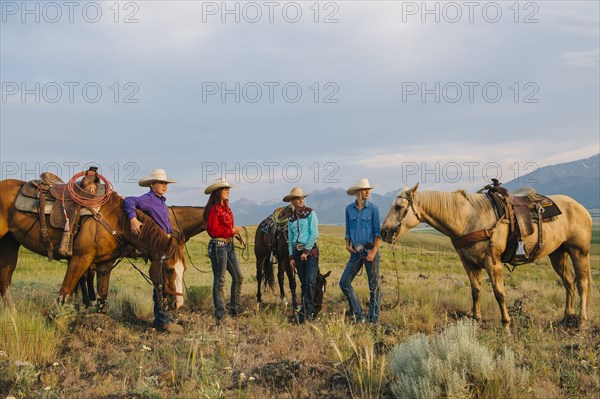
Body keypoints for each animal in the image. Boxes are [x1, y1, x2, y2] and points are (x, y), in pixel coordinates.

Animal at [0, 180, 186, 314]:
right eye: (169, 269)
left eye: (183, 269)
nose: (178, 304)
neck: (114, 219)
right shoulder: (80, 258)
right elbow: (64, 293)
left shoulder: (105, 263)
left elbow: (102, 297)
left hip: (10, 244)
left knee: (5, 280)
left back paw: (13, 313)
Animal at [382, 184, 592, 334]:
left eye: (399, 206)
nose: (383, 232)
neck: (468, 219)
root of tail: (582, 208)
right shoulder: (469, 264)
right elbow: (475, 291)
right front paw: (476, 319)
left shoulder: (492, 263)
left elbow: (499, 293)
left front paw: (506, 324)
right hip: (558, 253)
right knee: (569, 282)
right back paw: (566, 318)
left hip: (578, 251)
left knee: (581, 283)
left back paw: (581, 321)